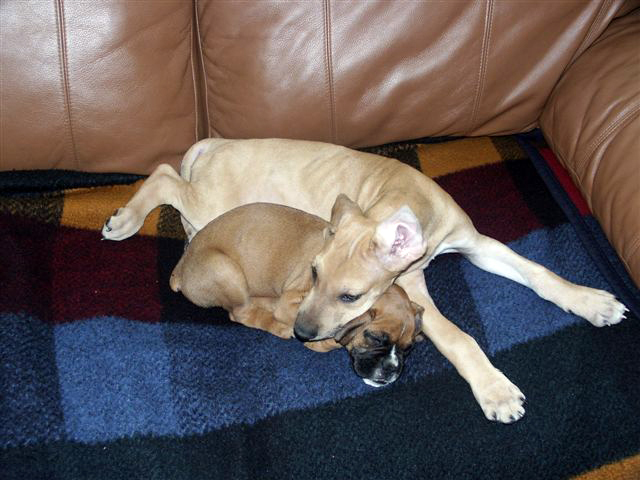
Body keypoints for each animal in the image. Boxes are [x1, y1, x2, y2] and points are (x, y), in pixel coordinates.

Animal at [169, 202, 424, 387]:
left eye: (408, 349)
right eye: (376, 338)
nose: (391, 368)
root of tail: (180, 268)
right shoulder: (292, 304)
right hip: (226, 270)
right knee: (239, 313)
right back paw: (278, 326)